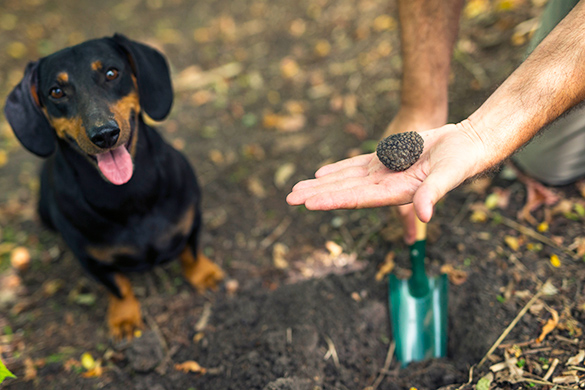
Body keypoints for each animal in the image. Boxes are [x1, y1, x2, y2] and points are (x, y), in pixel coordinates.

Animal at [4, 33, 224, 338]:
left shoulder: (193, 220)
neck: (129, 195)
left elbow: (191, 252)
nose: (105, 134)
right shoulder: (92, 261)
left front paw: (205, 275)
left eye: (111, 73)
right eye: (56, 92)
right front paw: (124, 317)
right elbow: (118, 286)